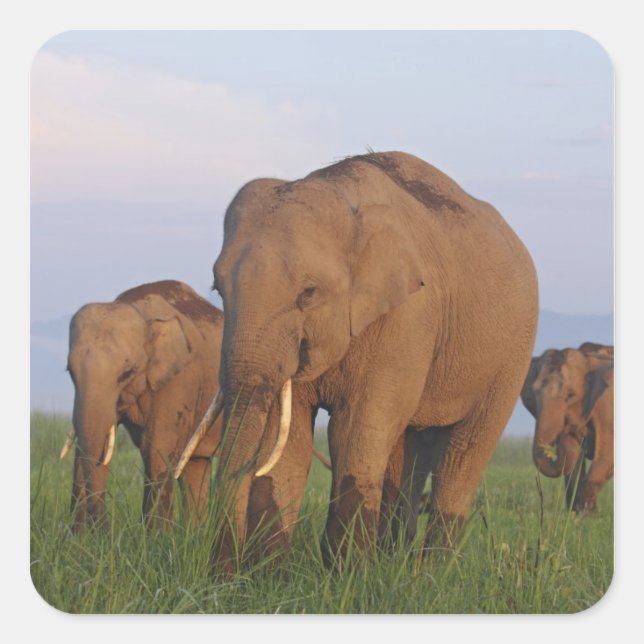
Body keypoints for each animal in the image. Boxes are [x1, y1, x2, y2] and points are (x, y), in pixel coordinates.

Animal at [63, 280, 224, 530]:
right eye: (69, 372)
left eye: (127, 373)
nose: (103, 531)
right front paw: (78, 538)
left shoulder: (179, 379)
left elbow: (156, 449)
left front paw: (158, 537)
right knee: (196, 464)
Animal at [183, 150, 538, 574]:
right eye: (218, 289)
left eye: (308, 293)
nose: (220, 574)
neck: (340, 191)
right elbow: (290, 437)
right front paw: (272, 577)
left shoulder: (408, 316)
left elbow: (355, 429)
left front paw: (345, 574)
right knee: (409, 449)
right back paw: (394, 564)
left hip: (512, 354)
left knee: (464, 452)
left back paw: (431, 573)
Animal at [520, 342, 614, 514]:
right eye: (534, 393)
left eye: (570, 395)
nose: (561, 438)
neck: (587, 360)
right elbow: (573, 466)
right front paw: (575, 514)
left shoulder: (607, 409)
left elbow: (606, 454)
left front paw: (588, 516)